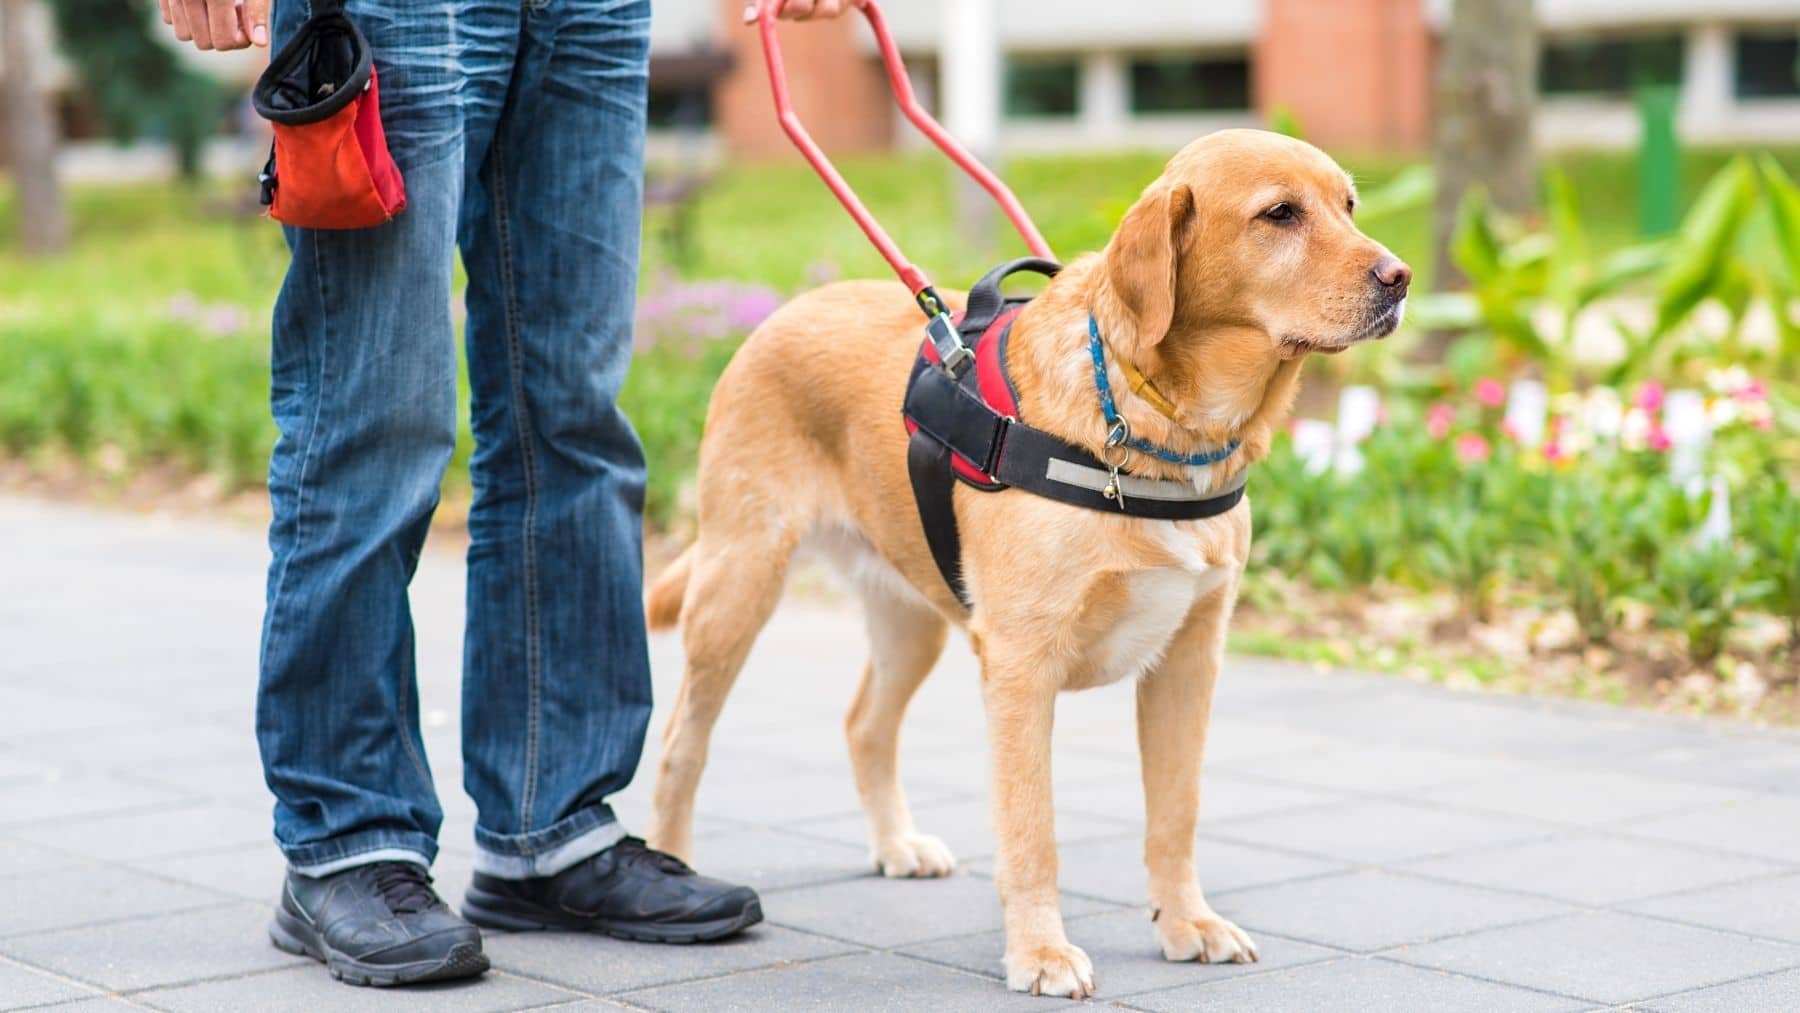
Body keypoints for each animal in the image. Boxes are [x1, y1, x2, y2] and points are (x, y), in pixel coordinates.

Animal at [644, 128, 1404, 1000]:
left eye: (1349, 205)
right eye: (1280, 214)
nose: (1401, 277)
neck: (1161, 425)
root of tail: (784, 310)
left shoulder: (1189, 659)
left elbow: (1175, 813)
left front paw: (1187, 922)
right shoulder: (1020, 665)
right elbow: (1032, 828)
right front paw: (1039, 949)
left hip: (912, 617)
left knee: (864, 722)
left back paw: (895, 843)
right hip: (739, 585)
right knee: (682, 740)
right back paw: (672, 866)